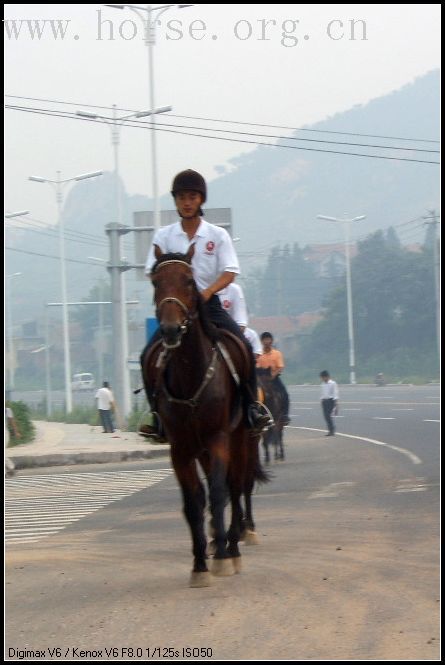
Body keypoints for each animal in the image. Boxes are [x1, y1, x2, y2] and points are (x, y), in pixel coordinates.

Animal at [140, 248, 268, 588]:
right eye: (155, 281)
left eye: (188, 279)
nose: (171, 329)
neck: (191, 373)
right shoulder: (181, 447)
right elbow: (194, 502)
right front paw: (199, 564)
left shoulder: (219, 437)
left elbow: (221, 492)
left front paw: (223, 556)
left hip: (241, 438)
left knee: (237, 486)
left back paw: (234, 543)